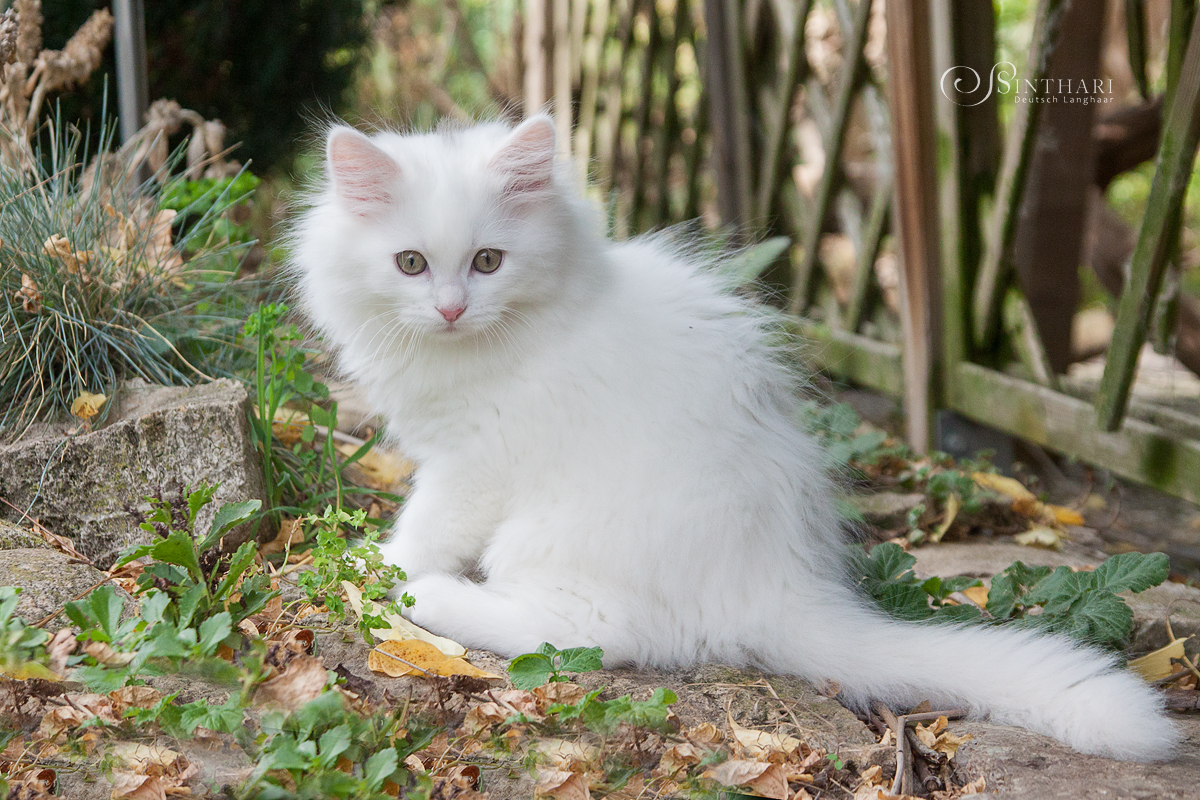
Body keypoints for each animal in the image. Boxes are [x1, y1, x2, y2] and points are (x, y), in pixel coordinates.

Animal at [290, 110, 1171, 758]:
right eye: (409, 264)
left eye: (487, 262)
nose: (449, 309)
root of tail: (780, 589)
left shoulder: (474, 464)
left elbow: (425, 527)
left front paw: (376, 562)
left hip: (560, 540)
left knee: (593, 634)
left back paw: (434, 596)